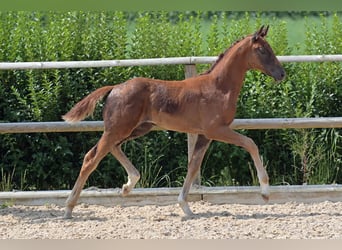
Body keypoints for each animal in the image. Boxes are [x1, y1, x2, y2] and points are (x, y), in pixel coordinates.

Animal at [62, 24, 286, 218]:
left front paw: (185, 206)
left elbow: (193, 166)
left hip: (136, 129)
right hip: (118, 129)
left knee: (112, 148)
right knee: (91, 158)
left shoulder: (204, 136)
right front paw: (265, 192)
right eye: (262, 50)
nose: (281, 73)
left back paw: (128, 185)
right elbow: (251, 143)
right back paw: (69, 208)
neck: (219, 88)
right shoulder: (216, 130)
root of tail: (114, 88)